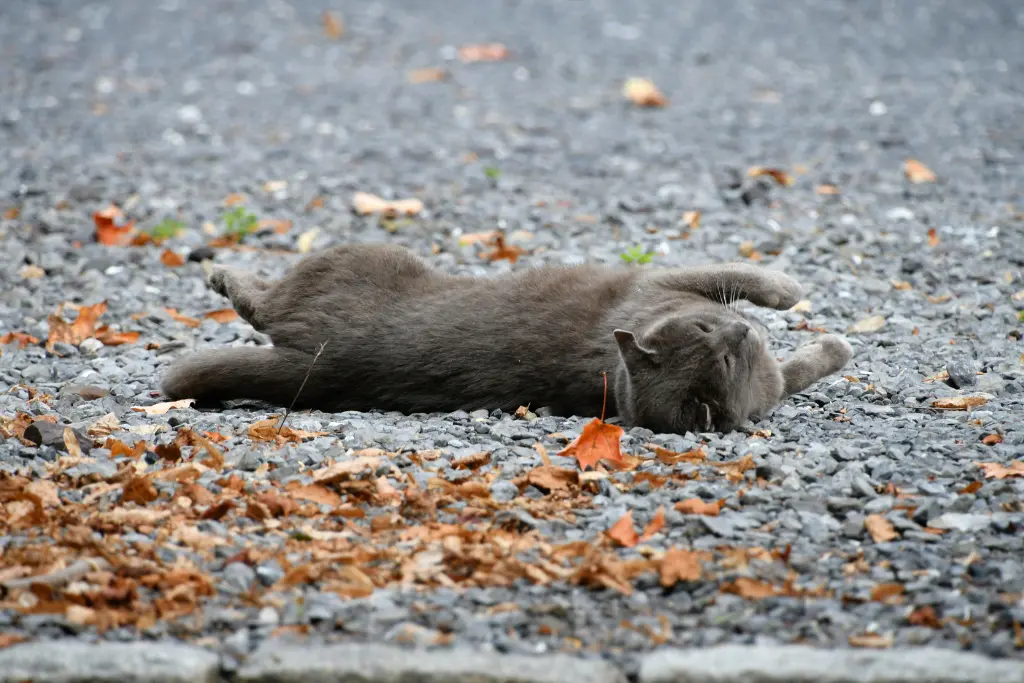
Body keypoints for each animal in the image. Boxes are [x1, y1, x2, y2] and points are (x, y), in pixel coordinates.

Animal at [159, 245, 851, 436]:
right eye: (709, 336)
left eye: (724, 356)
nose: (740, 329)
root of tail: (320, 365)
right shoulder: (663, 279)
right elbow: (743, 274)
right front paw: (794, 295)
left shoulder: (772, 386)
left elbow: (799, 369)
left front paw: (834, 346)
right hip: (354, 256)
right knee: (260, 299)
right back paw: (218, 270)